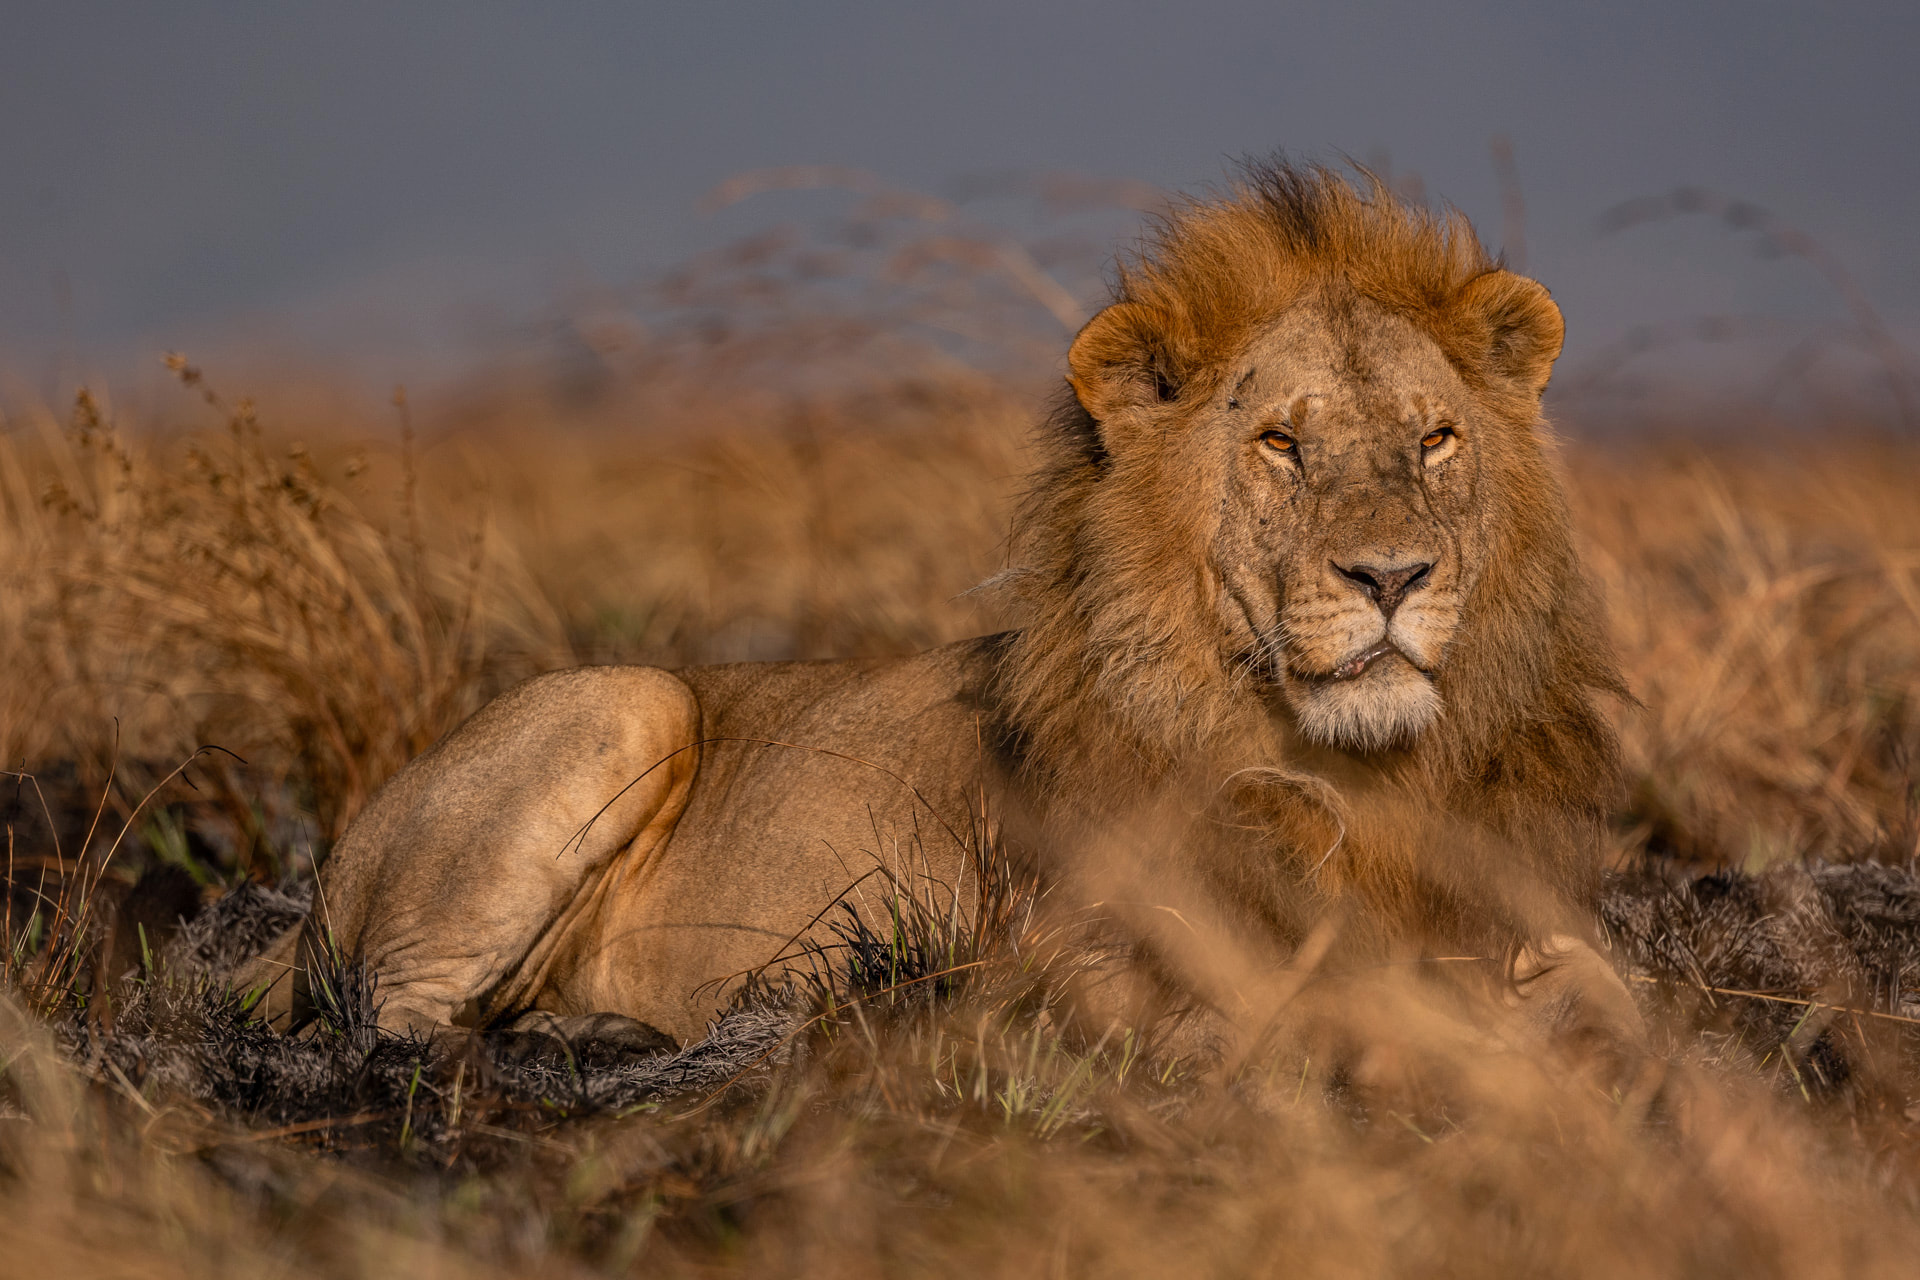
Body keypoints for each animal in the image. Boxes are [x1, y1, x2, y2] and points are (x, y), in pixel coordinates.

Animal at [247, 160, 1643, 1059]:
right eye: (1283, 444)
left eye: (1437, 438)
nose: (1393, 576)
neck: (1351, 771)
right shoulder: (1069, 964)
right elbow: (1304, 1002)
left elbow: (1612, 988)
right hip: (622, 702)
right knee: (389, 1017)